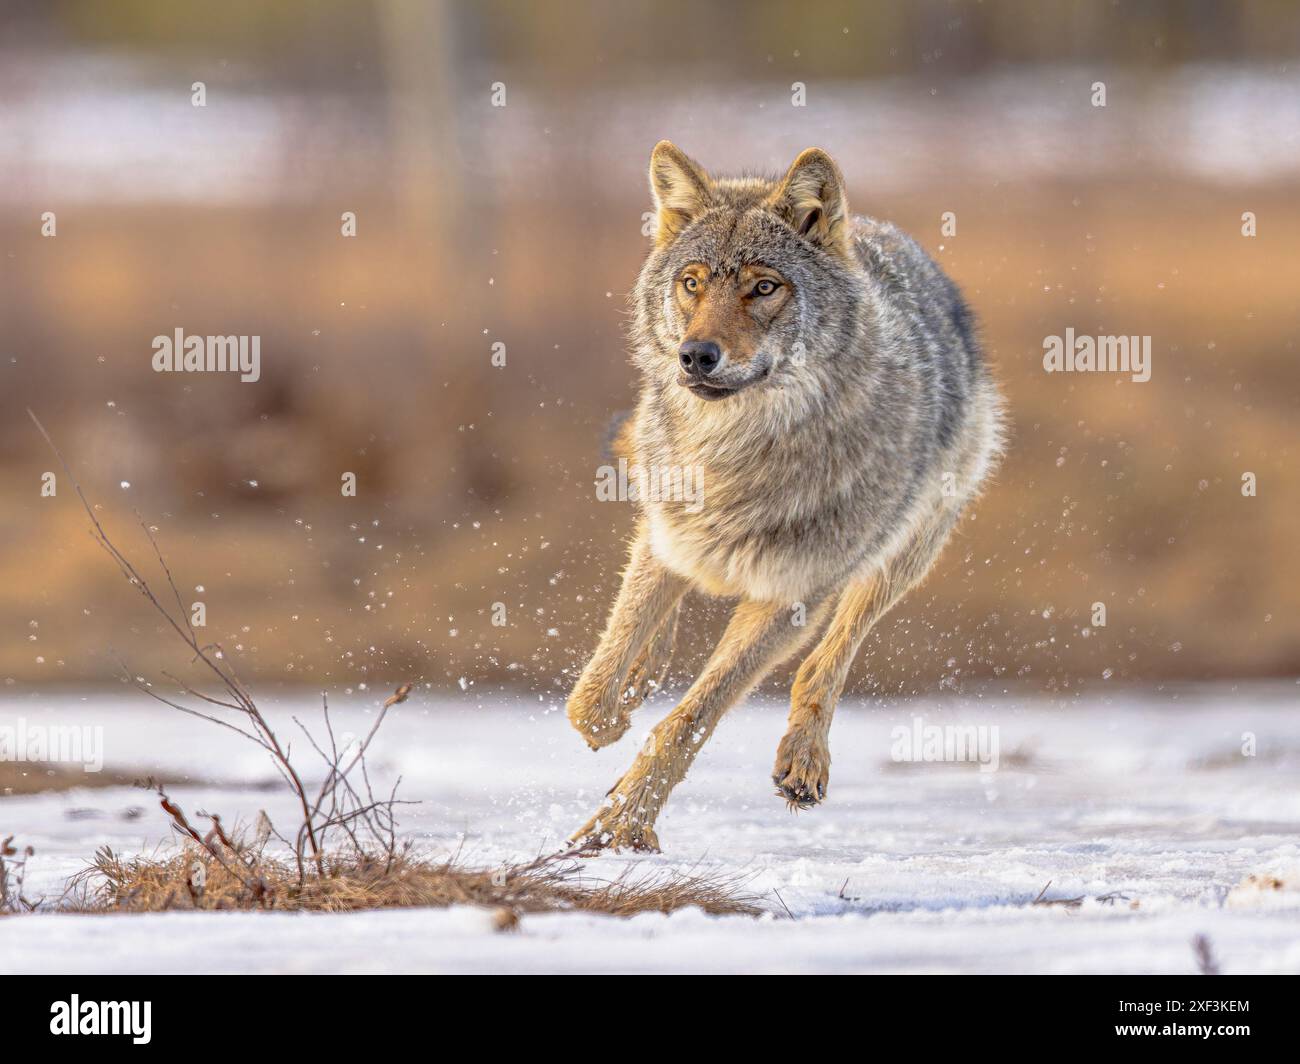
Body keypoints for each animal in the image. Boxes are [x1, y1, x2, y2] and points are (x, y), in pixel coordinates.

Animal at [566, 143, 1003, 853]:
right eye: (692, 283)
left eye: (764, 287)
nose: (695, 356)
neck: (738, 456)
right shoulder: (669, 536)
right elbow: (595, 689)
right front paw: (617, 710)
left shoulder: (788, 597)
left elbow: (688, 720)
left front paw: (620, 827)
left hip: (897, 562)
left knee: (829, 660)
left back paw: (803, 759)